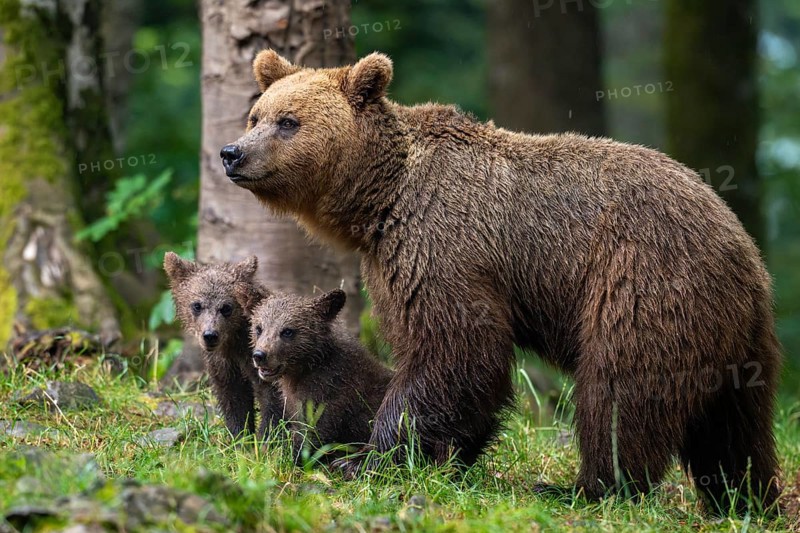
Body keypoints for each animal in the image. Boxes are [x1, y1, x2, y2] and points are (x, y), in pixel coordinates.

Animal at [164, 252, 283, 440]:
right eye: (197, 305)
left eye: (226, 307)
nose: (210, 335)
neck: (234, 343)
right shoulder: (224, 363)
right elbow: (233, 399)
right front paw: (240, 437)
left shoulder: (266, 356)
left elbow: (272, 397)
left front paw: (266, 438)